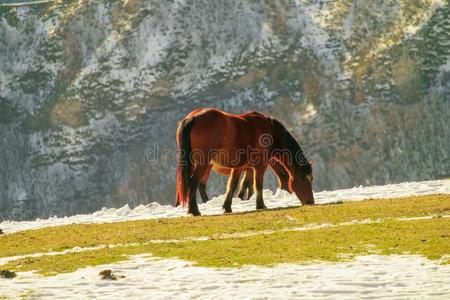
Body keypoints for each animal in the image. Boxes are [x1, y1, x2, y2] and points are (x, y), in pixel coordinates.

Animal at [175, 108, 312, 216]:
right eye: (305, 179)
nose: (311, 202)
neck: (270, 131)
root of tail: (192, 117)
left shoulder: (240, 167)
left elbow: (233, 185)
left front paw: (227, 207)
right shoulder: (259, 166)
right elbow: (257, 185)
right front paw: (260, 205)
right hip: (203, 164)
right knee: (194, 182)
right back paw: (194, 210)